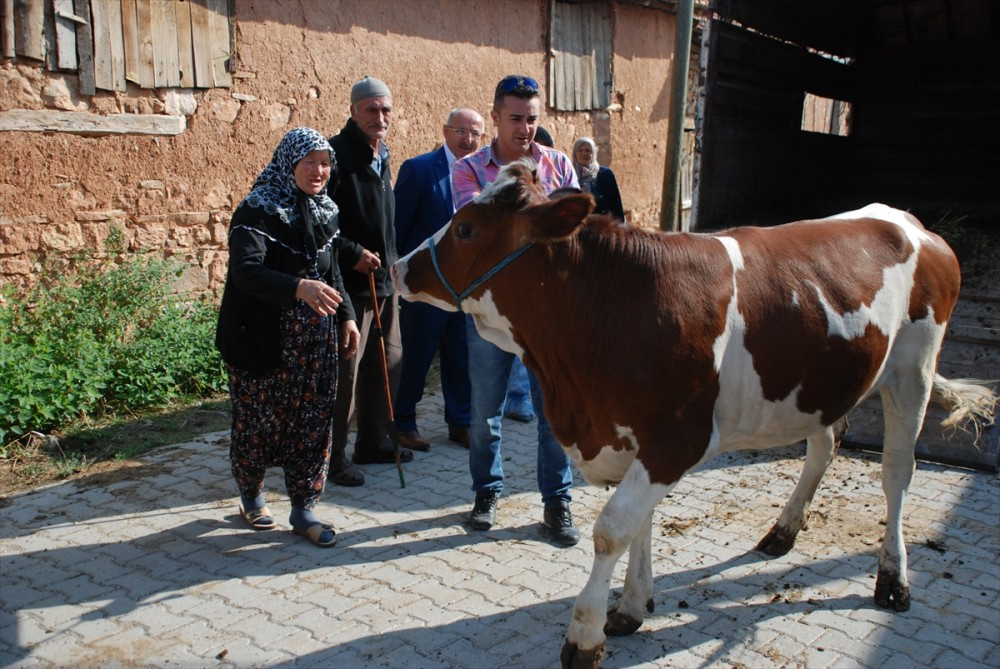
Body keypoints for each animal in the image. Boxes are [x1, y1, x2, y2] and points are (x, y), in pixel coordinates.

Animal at [386, 163, 996, 668]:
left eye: (466, 229)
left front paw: (584, 635)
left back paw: (892, 579)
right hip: (826, 382)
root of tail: (910, 222)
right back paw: (783, 530)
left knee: (897, 473)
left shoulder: (675, 438)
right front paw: (631, 607)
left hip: (913, 369)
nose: (396, 266)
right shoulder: (632, 438)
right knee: (825, 444)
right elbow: (638, 526)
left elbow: (611, 530)